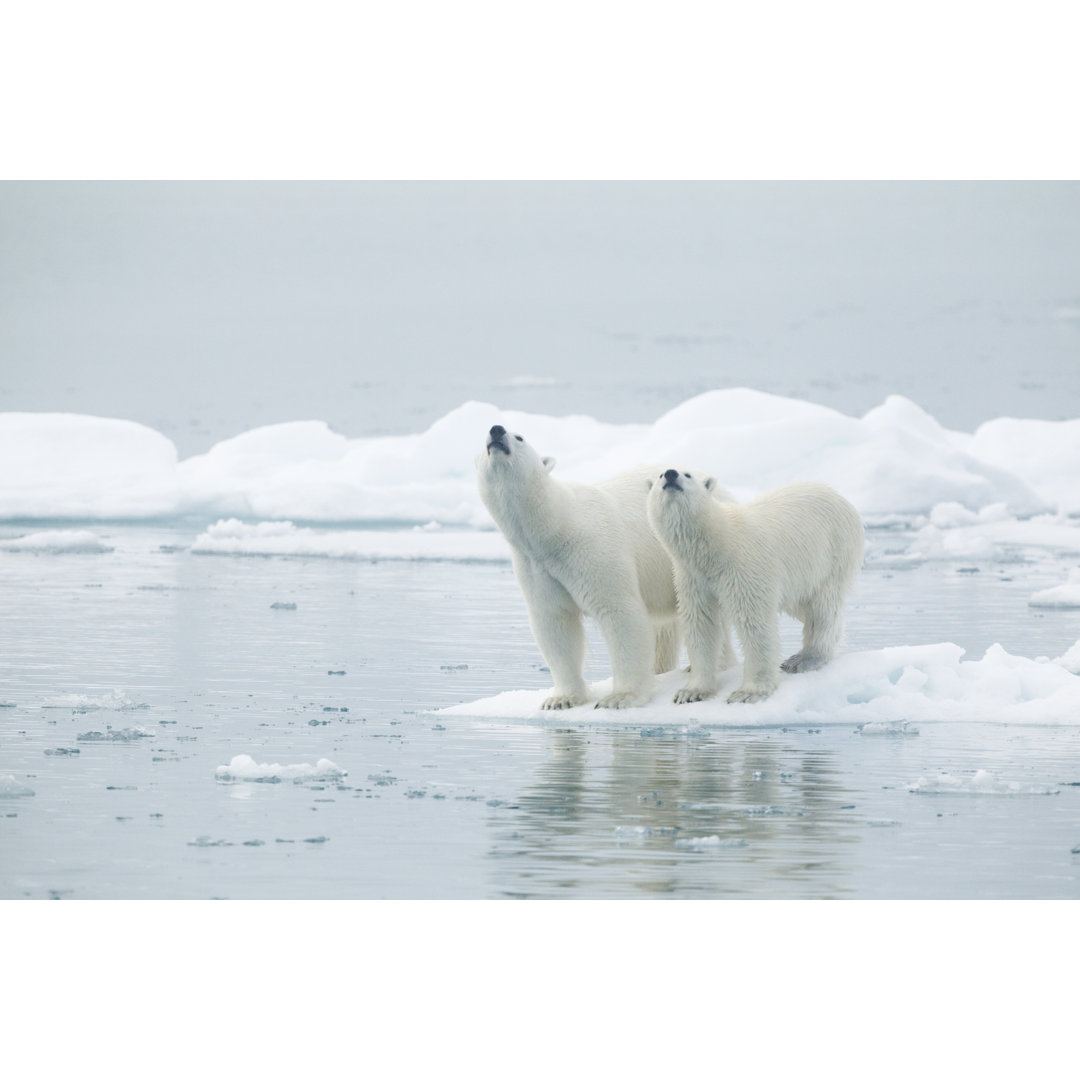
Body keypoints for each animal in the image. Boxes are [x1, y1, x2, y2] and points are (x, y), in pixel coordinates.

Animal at [479, 421, 738, 708]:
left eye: (519, 437)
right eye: (483, 439)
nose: (496, 430)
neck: (556, 528)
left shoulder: (592, 549)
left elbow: (620, 612)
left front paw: (619, 697)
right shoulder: (535, 565)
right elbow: (555, 622)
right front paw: (561, 699)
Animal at [643, 468, 864, 704]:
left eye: (687, 474)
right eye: (659, 476)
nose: (670, 473)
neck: (716, 545)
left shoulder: (744, 569)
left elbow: (754, 623)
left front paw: (748, 692)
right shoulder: (693, 579)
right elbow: (701, 624)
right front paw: (691, 692)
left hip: (832, 554)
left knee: (822, 607)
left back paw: (804, 659)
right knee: (802, 606)